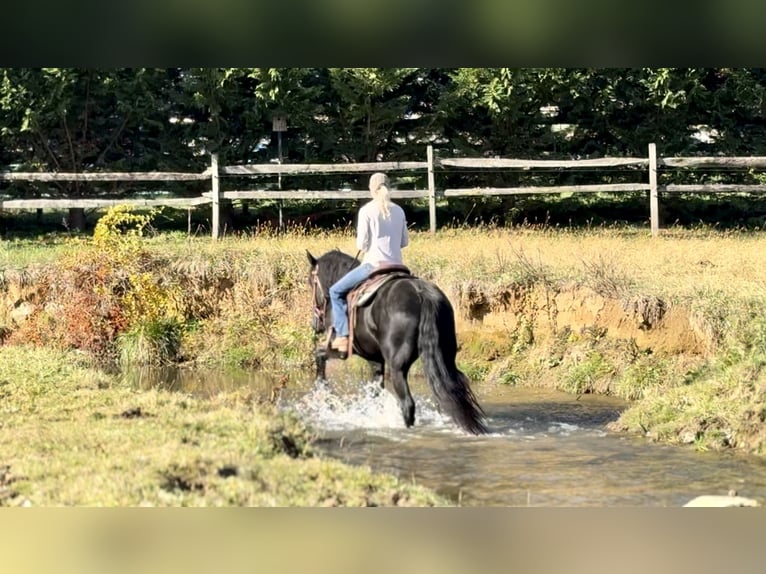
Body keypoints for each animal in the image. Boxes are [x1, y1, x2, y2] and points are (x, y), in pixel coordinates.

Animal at [306, 249, 488, 435]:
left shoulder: (341, 350)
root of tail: (422, 293)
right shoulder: (375, 360)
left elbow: (318, 356)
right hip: (445, 359)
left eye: (310, 282)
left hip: (397, 367)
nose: (315, 324)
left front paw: (323, 396)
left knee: (407, 403)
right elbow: (375, 394)